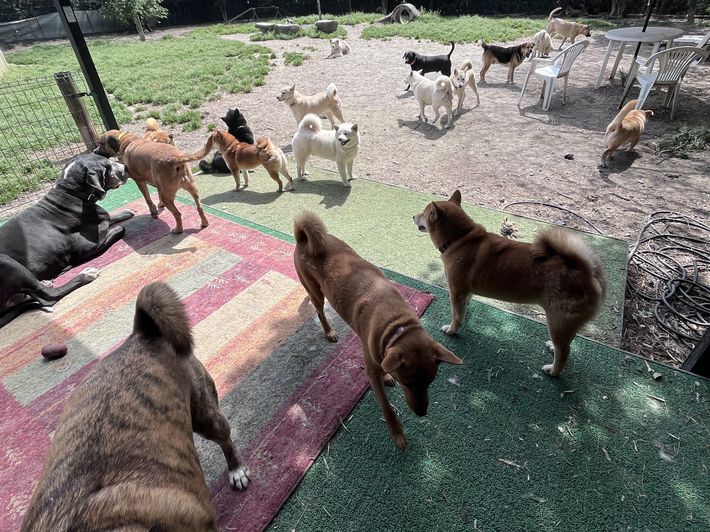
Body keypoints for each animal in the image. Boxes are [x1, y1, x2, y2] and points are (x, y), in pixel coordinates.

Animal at [0, 154, 131, 328]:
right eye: (107, 165)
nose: (125, 167)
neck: (72, 192)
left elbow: (111, 217)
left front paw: (126, 212)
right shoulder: (89, 248)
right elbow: (119, 229)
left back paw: (46, 282)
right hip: (6, 261)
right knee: (48, 297)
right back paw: (84, 275)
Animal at [293, 212, 462, 448]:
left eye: (430, 382)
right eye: (407, 383)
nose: (422, 413)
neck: (397, 325)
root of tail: (303, 238)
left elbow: (385, 366)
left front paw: (388, 375)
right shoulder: (372, 372)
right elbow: (387, 408)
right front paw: (397, 434)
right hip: (317, 292)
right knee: (319, 311)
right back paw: (328, 331)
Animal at [413, 190, 606, 377]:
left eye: (423, 213)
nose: (413, 216)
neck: (460, 239)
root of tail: (586, 271)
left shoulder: (456, 292)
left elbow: (456, 316)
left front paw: (452, 330)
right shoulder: (465, 293)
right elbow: (462, 310)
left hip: (557, 322)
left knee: (565, 352)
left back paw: (553, 371)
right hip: (564, 325)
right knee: (566, 345)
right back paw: (553, 347)